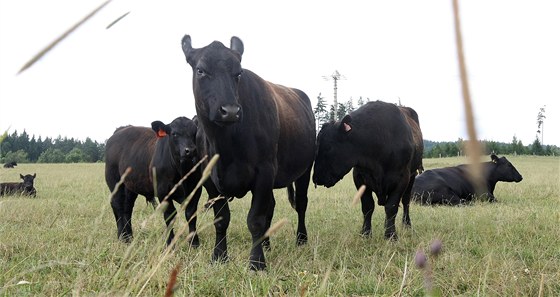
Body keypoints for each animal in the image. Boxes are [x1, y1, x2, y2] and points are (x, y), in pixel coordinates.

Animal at [104, 115, 202, 245]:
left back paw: (129, 236)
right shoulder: (163, 191)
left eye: (195, 132)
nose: (190, 150)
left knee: (127, 207)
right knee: (117, 205)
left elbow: (191, 213)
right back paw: (122, 236)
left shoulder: (196, 188)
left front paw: (194, 242)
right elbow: (169, 215)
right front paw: (170, 243)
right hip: (114, 181)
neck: (182, 172)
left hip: (130, 186)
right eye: (174, 134)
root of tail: (120, 130)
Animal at [182, 35, 318, 270]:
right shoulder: (210, 179)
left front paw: (256, 263)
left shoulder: (264, 171)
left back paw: (301, 239)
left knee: (301, 203)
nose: (230, 111)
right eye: (200, 70)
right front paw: (219, 256)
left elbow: (255, 219)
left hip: (304, 169)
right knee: (271, 207)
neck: (225, 145)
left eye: (238, 73)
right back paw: (267, 244)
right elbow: (222, 220)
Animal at [316, 100, 416, 239]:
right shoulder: (359, 177)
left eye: (328, 147)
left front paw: (391, 235)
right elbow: (368, 206)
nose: (316, 177)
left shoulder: (402, 178)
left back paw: (407, 224)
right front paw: (366, 233)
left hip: (413, 176)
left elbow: (391, 207)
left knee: (406, 201)